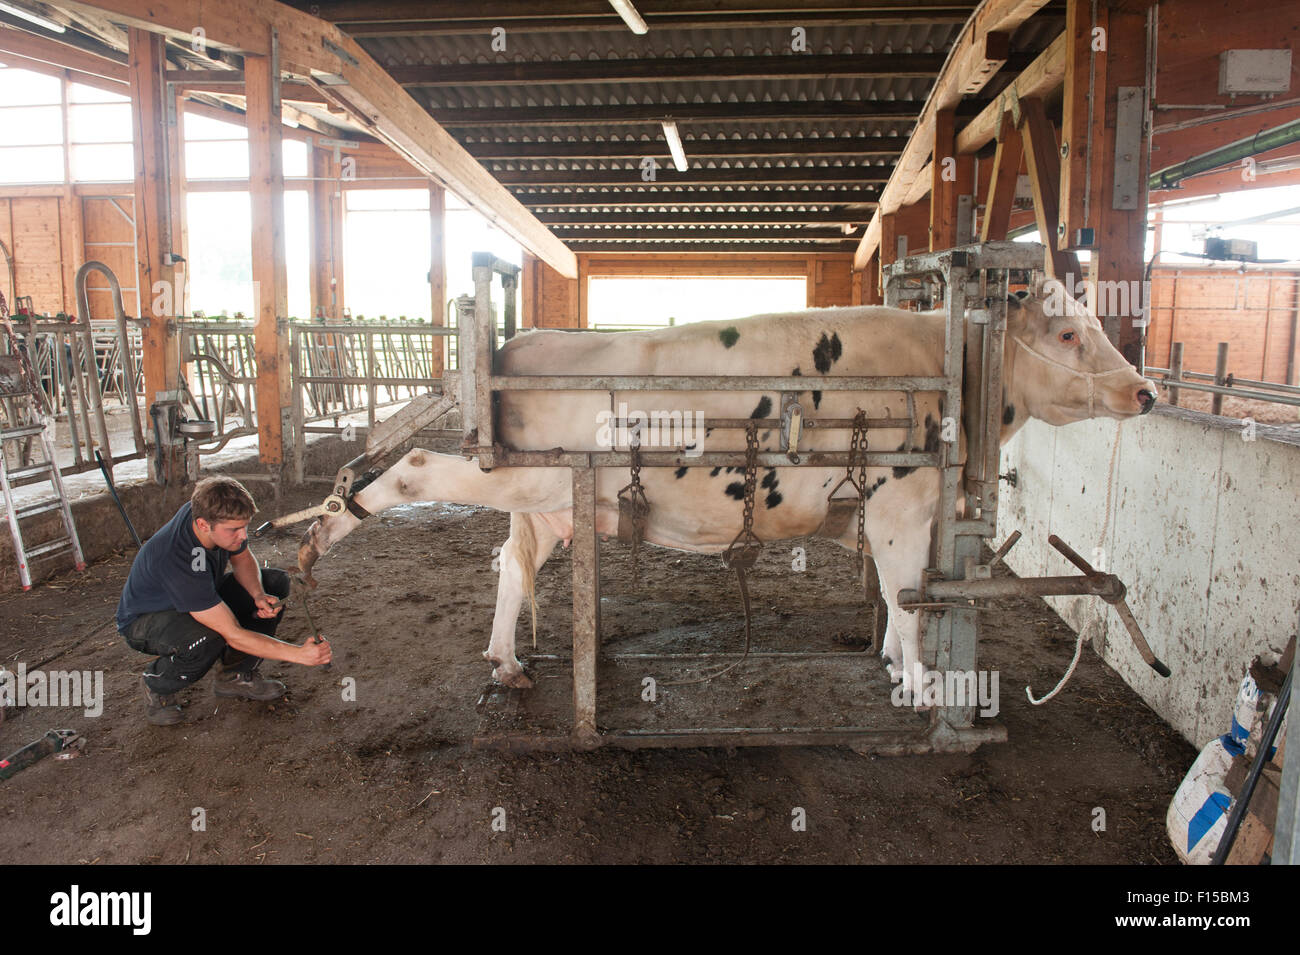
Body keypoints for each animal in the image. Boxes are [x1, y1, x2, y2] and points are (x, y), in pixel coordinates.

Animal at [297, 283, 1159, 701]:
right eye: (1069, 333)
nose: (1145, 390)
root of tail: (516, 340)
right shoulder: (900, 503)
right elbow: (910, 596)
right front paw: (916, 684)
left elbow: (895, 594)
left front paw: (890, 661)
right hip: (524, 470)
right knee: (413, 464)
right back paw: (327, 524)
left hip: (543, 501)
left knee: (512, 564)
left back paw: (507, 662)